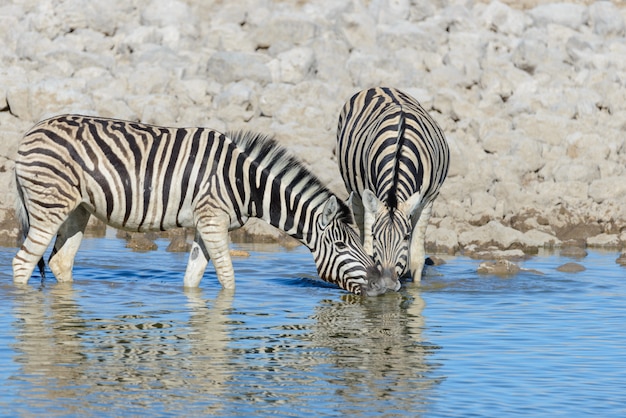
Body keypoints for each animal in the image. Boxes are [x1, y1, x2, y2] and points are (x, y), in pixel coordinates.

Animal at [11, 114, 394, 296]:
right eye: (342, 246)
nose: (384, 286)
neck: (245, 182)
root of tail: (27, 135)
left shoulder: (203, 224)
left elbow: (192, 278)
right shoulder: (212, 219)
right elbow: (228, 280)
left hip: (77, 209)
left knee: (59, 262)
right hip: (48, 207)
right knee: (22, 263)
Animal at [336, 88, 448, 284]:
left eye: (406, 236)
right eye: (375, 236)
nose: (387, 282)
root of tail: (378, 87)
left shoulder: (427, 201)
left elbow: (416, 258)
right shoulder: (371, 198)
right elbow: (367, 250)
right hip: (354, 190)